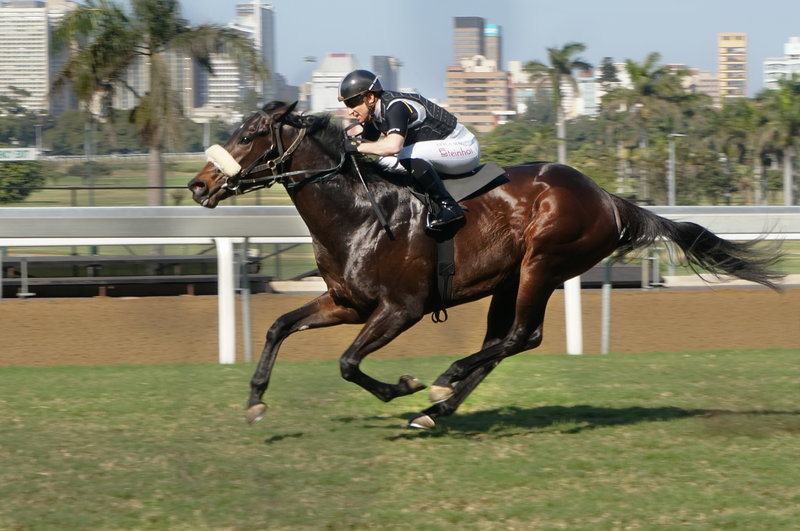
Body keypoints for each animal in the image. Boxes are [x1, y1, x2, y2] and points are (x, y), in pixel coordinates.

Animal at [188, 101, 783, 430]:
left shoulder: (401, 308)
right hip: (509, 276)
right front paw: (255, 402)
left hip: (543, 264)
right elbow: (278, 326)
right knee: (504, 342)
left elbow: (349, 364)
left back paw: (442, 384)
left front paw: (404, 385)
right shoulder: (346, 302)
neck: (358, 212)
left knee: (522, 335)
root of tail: (611, 200)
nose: (198, 185)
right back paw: (438, 406)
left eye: (249, 136)